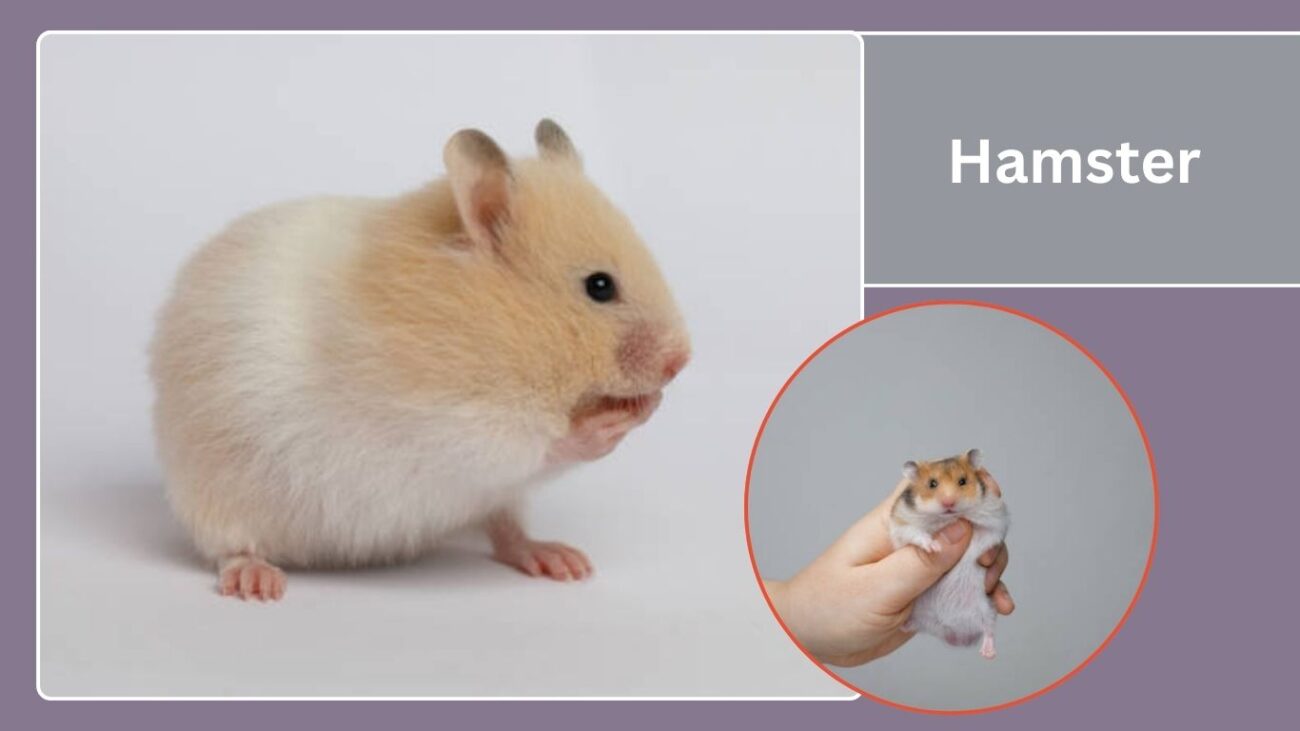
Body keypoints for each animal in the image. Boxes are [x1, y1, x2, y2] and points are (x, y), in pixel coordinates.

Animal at [150, 119, 690, 600]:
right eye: (599, 286)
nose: (681, 360)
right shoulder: (445, 420)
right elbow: (535, 440)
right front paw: (619, 418)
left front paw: (649, 404)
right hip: (215, 494)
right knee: (230, 547)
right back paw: (257, 584)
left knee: (506, 528)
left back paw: (563, 561)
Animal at [889, 449, 1009, 659]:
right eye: (932, 484)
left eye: (963, 481)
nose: (949, 503)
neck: (946, 518)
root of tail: (952, 633)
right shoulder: (901, 523)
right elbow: (916, 533)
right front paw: (934, 548)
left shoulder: (995, 519)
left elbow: (986, 536)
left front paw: (983, 557)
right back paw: (904, 625)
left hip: (986, 608)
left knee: (989, 628)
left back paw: (988, 653)